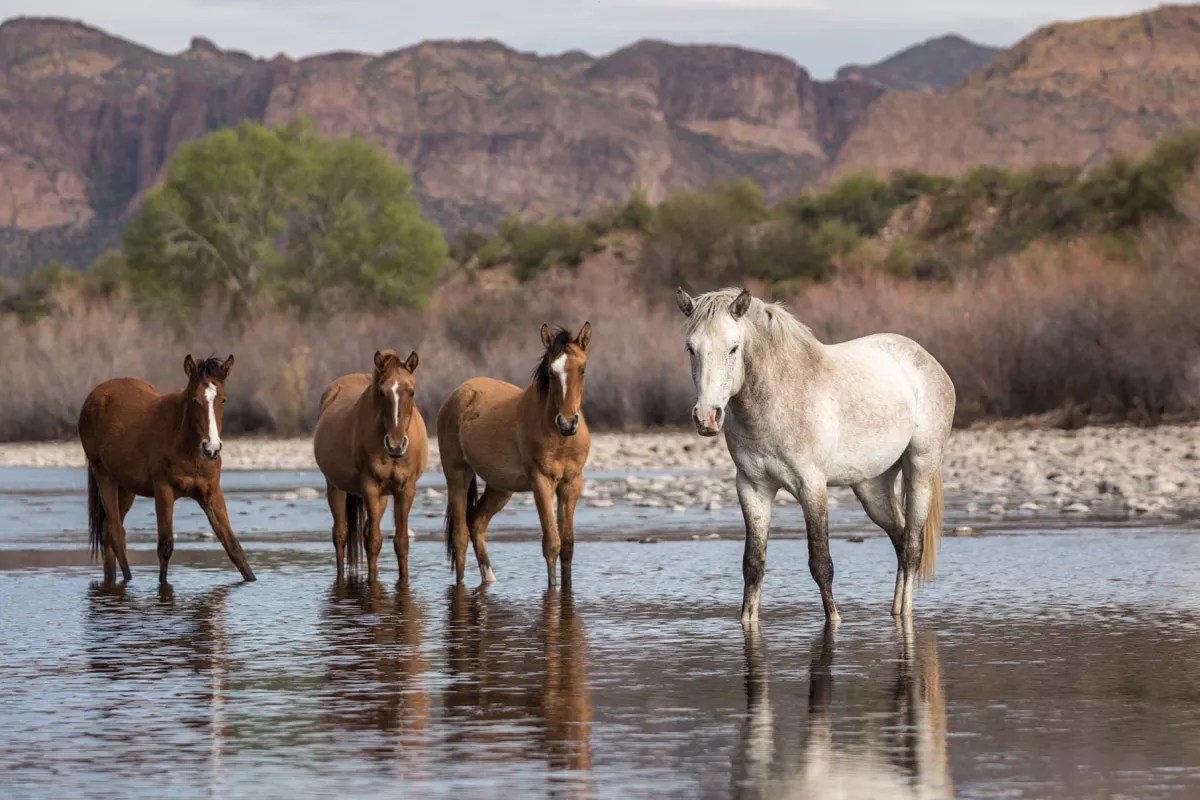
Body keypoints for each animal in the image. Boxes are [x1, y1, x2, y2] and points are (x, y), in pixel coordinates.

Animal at [78, 354, 255, 584]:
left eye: (223, 400)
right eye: (195, 400)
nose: (212, 448)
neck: (185, 446)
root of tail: (94, 396)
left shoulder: (211, 494)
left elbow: (233, 547)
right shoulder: (164, 491)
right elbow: (165, 546)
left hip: (125, 488)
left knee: (109, 533)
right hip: (104, 476)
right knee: (116, 533)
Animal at [313, 349, 429, 583]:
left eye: (411, 392)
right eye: (382, 393)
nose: (395, 445)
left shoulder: (406, 489)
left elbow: (401, 542)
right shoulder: (370, 486)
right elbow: (374, 542)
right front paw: (372, 582)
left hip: (382, 498)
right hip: (336, 488)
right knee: (340, 534)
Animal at [438, 322, 591, 588]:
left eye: (582, 369)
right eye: (551, 371)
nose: (567, 423)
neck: (559, 437)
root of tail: (457, 395)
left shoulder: (571, 483)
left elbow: (568, 546)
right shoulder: (541, 481)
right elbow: (552, 543)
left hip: (500, 488)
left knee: (476, 521)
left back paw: (490, 580)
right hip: (457, 475)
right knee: (460, 536)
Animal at [675, 287, 955, 623]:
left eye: (733, 348)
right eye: (691, 348)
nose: (707, 417)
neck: (777, 398)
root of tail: (927, 361)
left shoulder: (812, 487)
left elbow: (821, 564)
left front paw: (834, 620)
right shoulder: (752, 488)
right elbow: (753, 565)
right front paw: (747, 621)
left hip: (920, 470)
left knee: (912, 547)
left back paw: (905, 614)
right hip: (872, 487)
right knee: (900, 540)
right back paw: (895, 610)